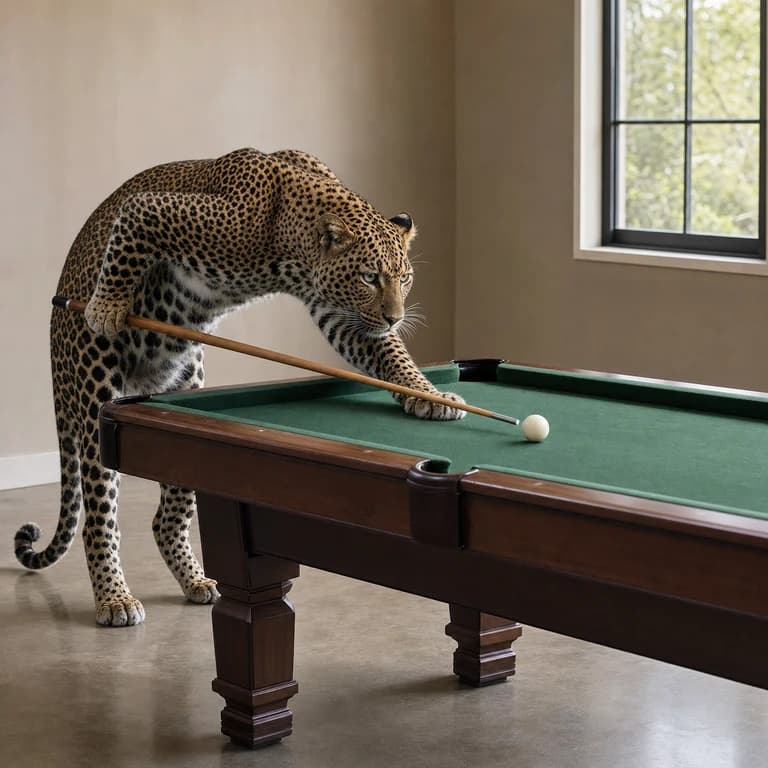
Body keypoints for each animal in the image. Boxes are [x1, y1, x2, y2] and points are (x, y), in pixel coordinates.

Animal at [13, 147, 466, 627]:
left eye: (405, 277)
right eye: (369, 277)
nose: (396, 318)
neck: (289, 235)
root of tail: (54, 318)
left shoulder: (339, 311)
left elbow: (387, 355)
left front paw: (430, 395)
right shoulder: (152, 210)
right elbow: (125, 243)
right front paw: (105, 307)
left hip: (184, 386)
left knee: (165, 520)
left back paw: (194, 579)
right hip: (95, 398)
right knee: (99, 519)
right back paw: (114, 597)